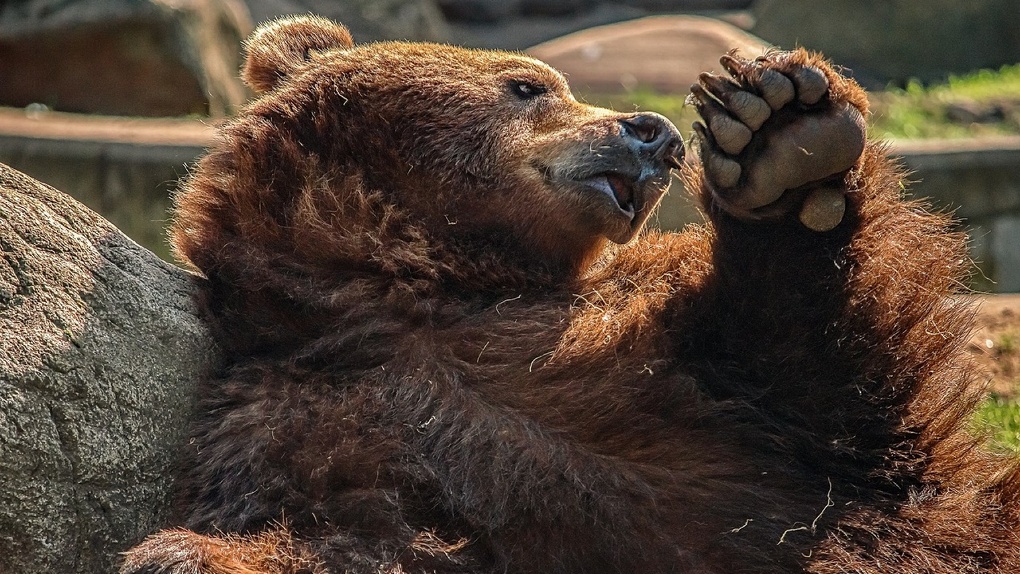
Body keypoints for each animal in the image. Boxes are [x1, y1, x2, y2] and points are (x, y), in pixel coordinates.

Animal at [123, 13, 1020, 574]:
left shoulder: (666, 358)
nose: (653, 133)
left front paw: (783, 137)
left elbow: (827, 381)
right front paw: (180, 555)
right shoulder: (298, 417)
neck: (414, 285)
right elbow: (353, 531)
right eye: (526, 85)